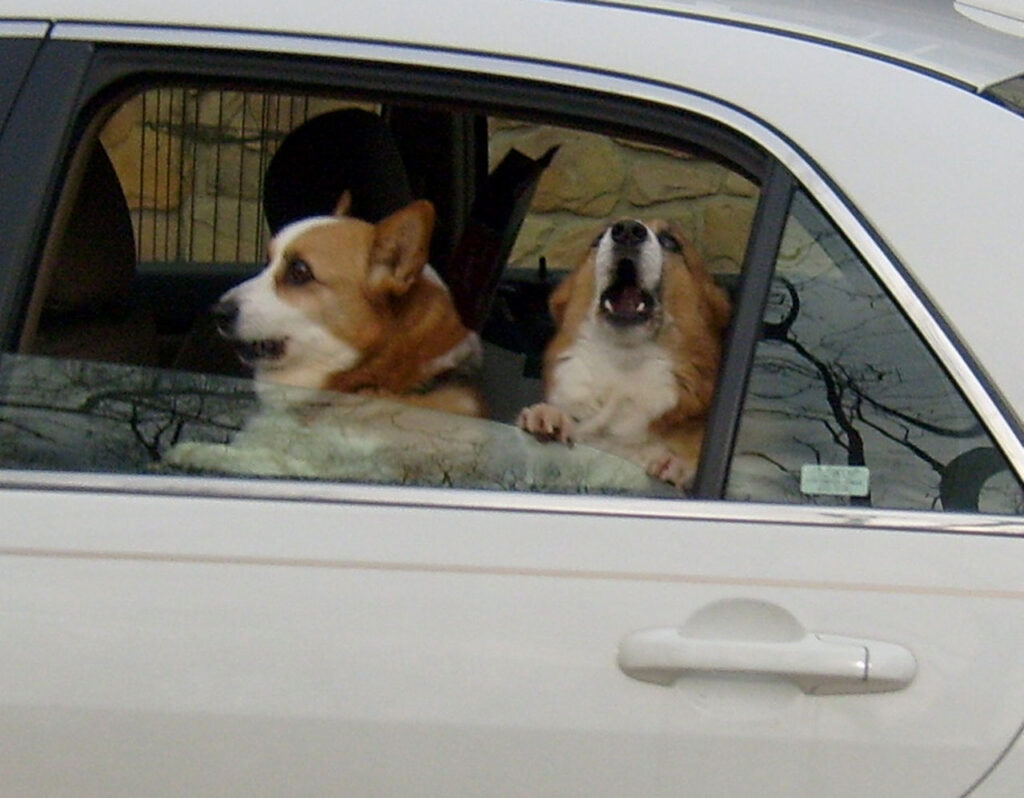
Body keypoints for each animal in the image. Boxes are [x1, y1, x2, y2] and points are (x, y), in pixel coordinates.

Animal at [516, 217, 733, 487]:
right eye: (598, 238)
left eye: (670, 241)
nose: (628, 230)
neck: (624, 364)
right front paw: (549, 418)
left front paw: (677, 469)